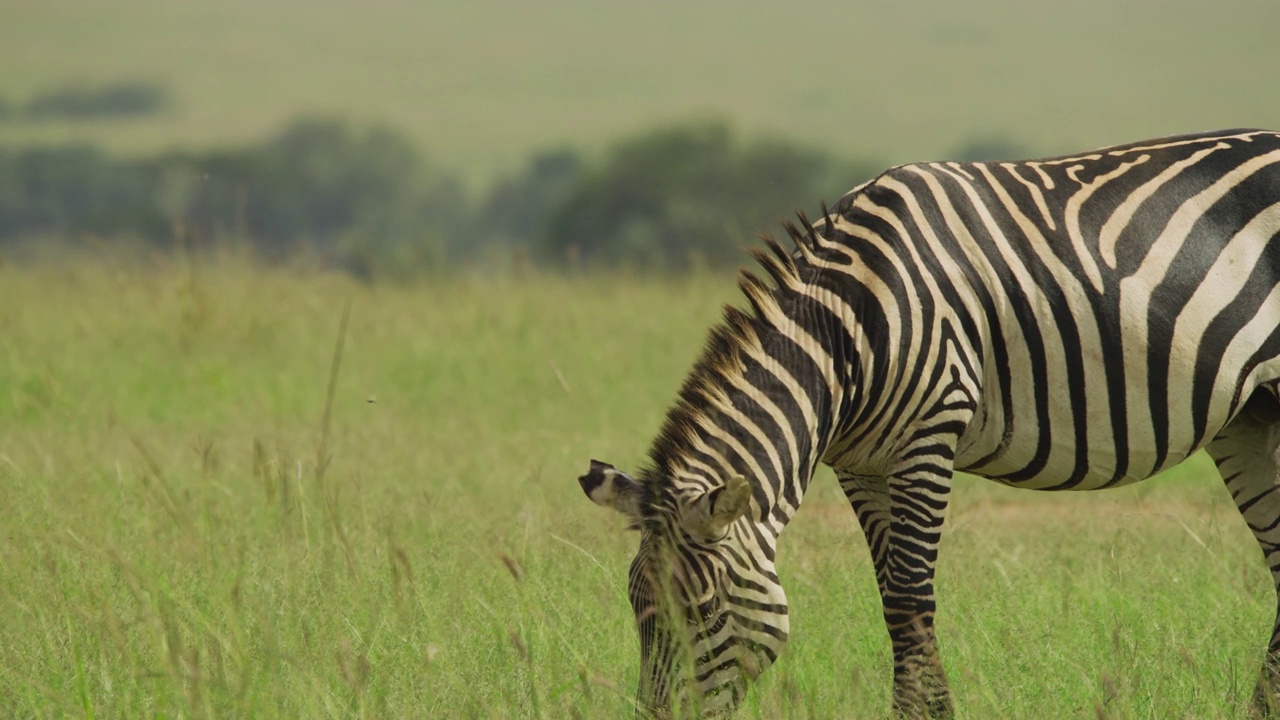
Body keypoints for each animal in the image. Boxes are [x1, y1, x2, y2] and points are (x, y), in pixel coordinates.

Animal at [583, 126, 1280, 712]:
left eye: (702, 612)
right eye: (634, 606)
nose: (655, 716)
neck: (848, 330)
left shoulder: (929, 435)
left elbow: (910, 598)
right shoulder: (859, 465)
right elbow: (891, 596)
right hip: (1251, 417)